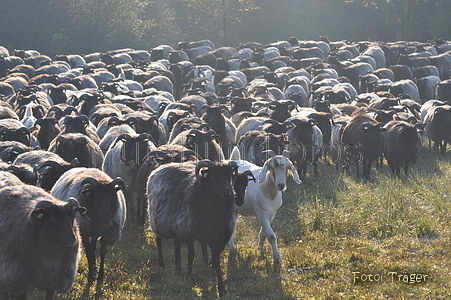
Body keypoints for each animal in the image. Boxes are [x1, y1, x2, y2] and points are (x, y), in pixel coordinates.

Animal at [148, 159, 240, 296]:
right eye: (213, 176)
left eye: (230, 176)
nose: (226, 191)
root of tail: (160, 167)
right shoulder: (189, 232)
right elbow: (191, 255)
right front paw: (189, 278)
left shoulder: (218, 237)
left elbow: (216, 260)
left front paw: (222, 288)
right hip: (158, 222)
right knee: (159, 241)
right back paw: (162, 265)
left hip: (177, 228)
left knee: (176, 246)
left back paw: (178, 271)